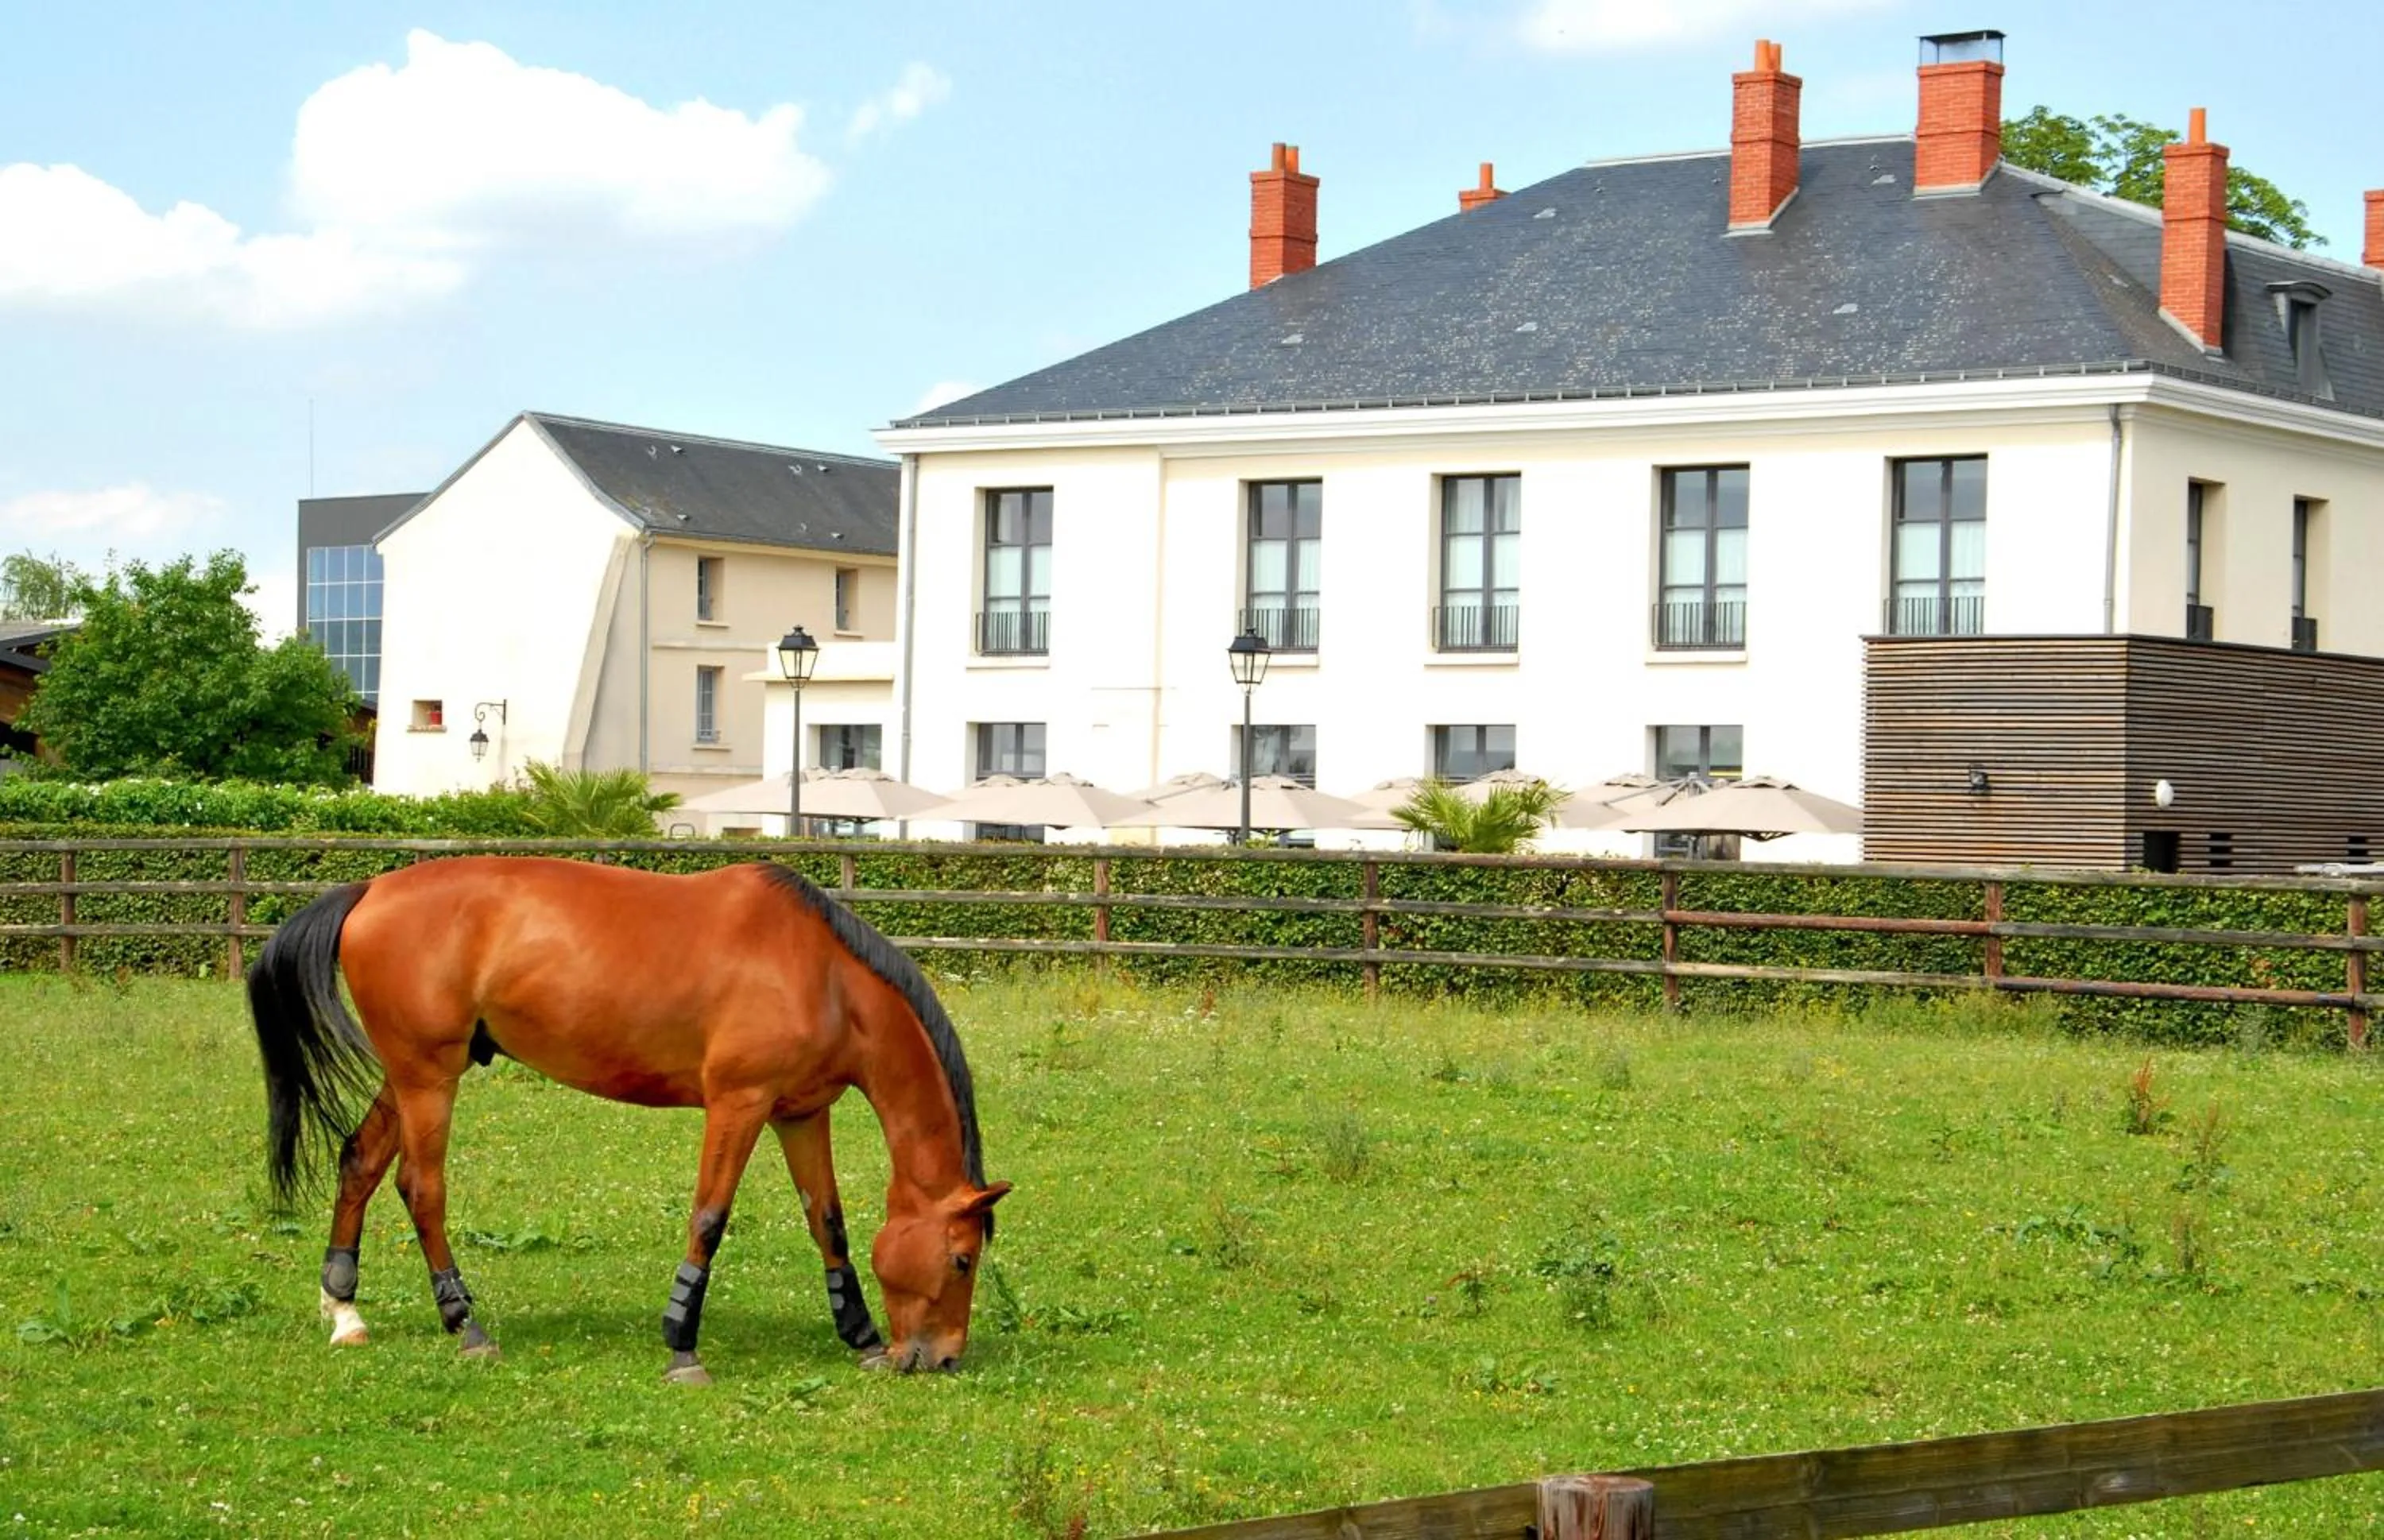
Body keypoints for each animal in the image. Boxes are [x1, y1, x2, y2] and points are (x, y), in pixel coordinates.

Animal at [245, 855, 1009, 1384]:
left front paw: (862, 1336)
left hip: (413, 1075)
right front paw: (682, 1346)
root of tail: (369, 891)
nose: (942, 1358)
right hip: (428, 1078)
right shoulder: (739, 1104)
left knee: (359, 1161)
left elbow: (828, 1222)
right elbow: (709, 1218)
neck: (824, 976)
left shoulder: (800, 1113)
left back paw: (344, 1311)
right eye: (963, 1258)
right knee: (421, 1188)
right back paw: (466, 1324)